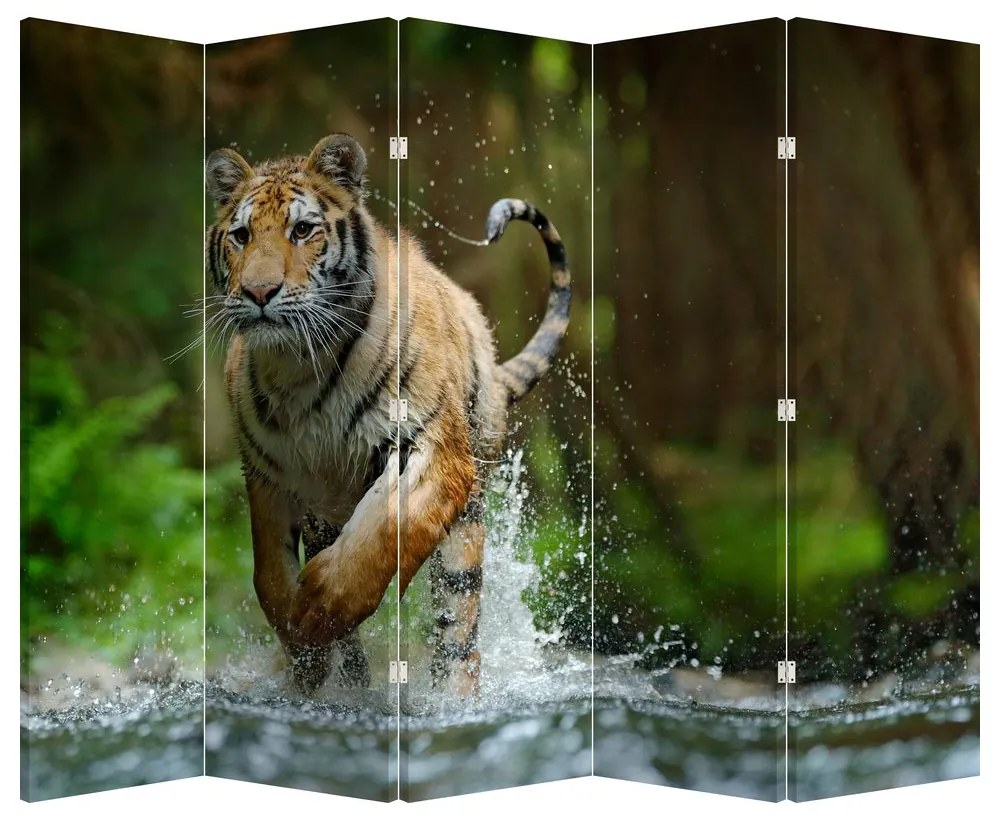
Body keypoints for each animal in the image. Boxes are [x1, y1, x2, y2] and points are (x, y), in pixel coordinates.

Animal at [205, 133, 571, 694]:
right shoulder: (267, 473)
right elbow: (269, 575)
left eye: (302, 229)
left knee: (458, 633)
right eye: (241, 236)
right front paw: (303, 648)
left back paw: (452, 697)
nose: (259, 292)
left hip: (466, 528)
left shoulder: (432, 450)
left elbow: (382, 533)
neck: (298, 367)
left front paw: (316, 609)